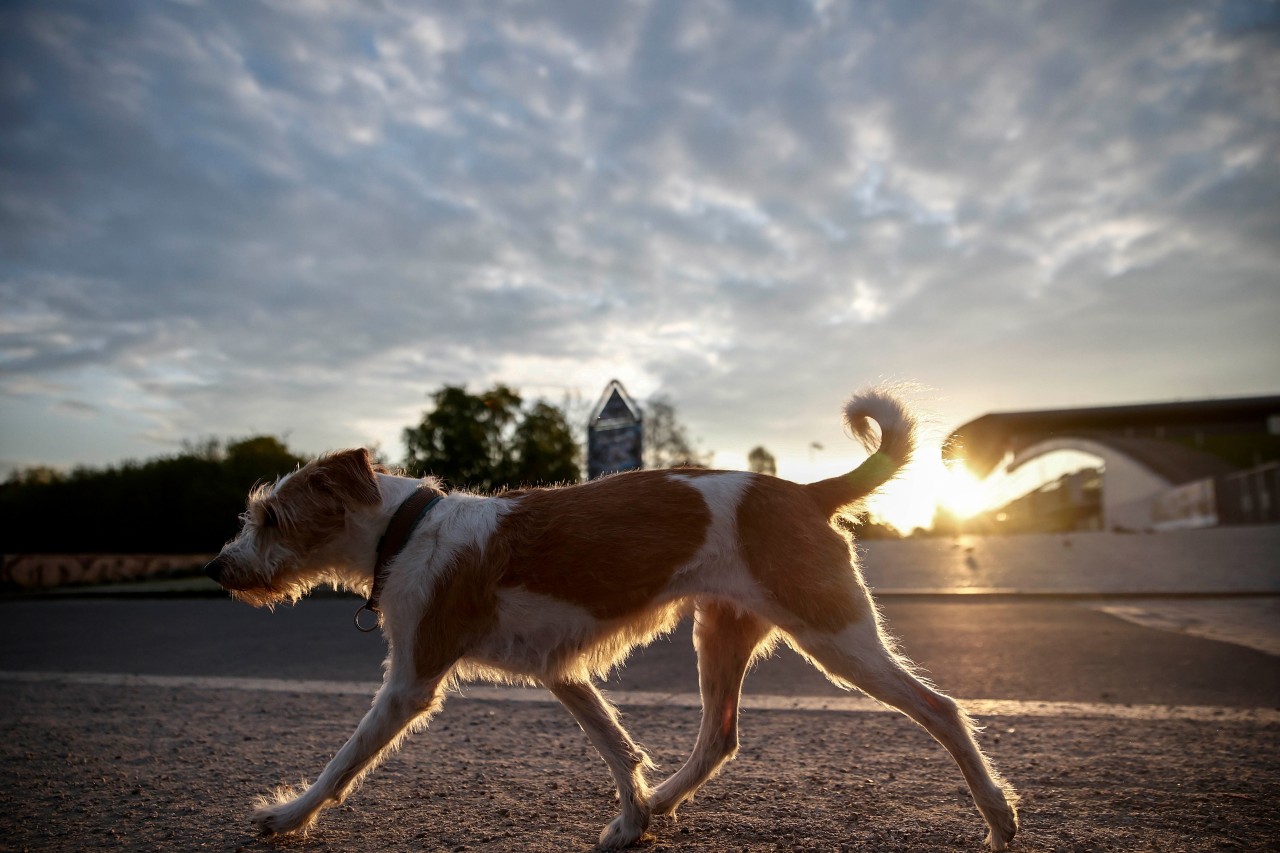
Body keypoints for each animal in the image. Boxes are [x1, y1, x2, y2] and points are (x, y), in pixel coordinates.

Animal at [204, 389, 1013, 845]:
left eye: (270, 516)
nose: (215, 568)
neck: (406, 527)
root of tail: (805, 491)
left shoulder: (410, 683)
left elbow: (345, 758)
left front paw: (288, 815)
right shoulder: (562, 672)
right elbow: (618, 747)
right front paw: (634, 819)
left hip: (834, 635)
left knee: (942, 708)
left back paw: (998, 816)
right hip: (720, 633)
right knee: (719, 737)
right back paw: (665, 800)